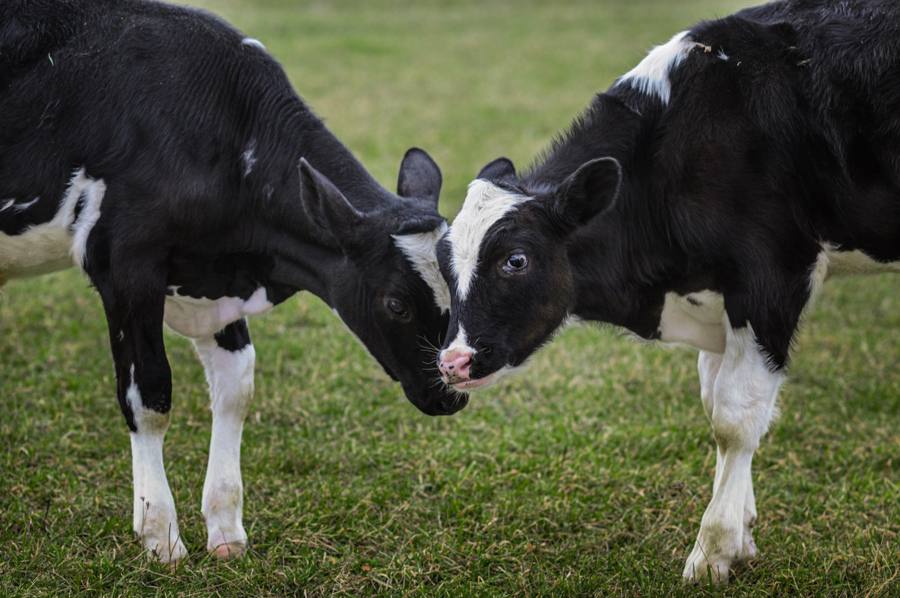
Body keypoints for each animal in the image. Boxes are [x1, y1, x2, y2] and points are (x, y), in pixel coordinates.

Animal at [1, 0, 460, 563]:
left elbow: (236, 387)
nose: (451, 395)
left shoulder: (215, 281)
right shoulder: (124, 263)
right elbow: (149, 394)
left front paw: (224, 529)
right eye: (396, 303)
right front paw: (161, 536)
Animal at [435, 0, 899, 583]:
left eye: (515, 261)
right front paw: (742, 532)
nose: (452, 361)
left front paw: (714, 550)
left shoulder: (774, 276)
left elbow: (735, 418)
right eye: (442, 262)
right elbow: (715, 402)